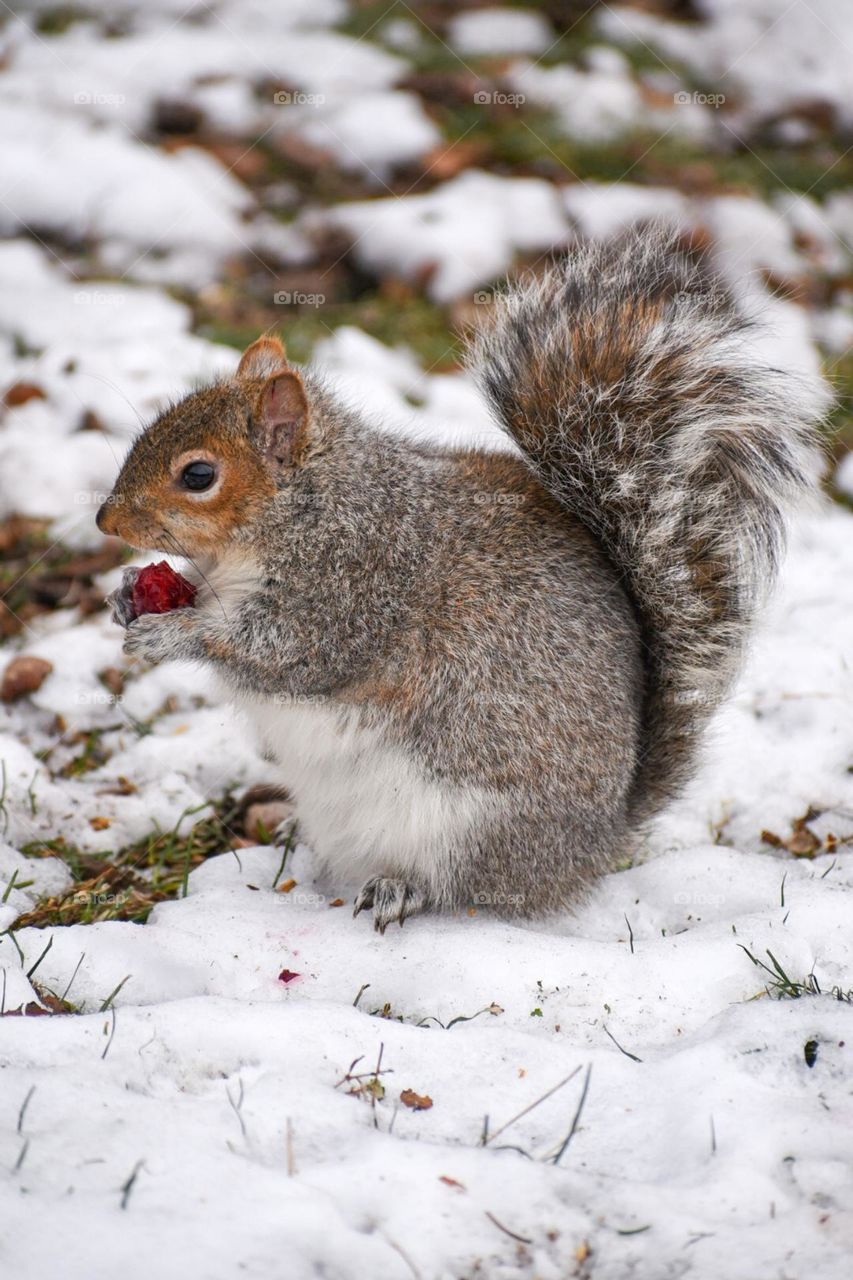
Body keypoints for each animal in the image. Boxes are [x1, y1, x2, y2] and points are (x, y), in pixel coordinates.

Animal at [97, 229, 826, 932]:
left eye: (198, 475)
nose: (106, 521)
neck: (305, 507)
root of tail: (593, 846)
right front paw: (128, 595)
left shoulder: (353, 590)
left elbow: (282, 654)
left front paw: (172, 635)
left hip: (466, 823)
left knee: (462, 888)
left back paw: (401, 889)